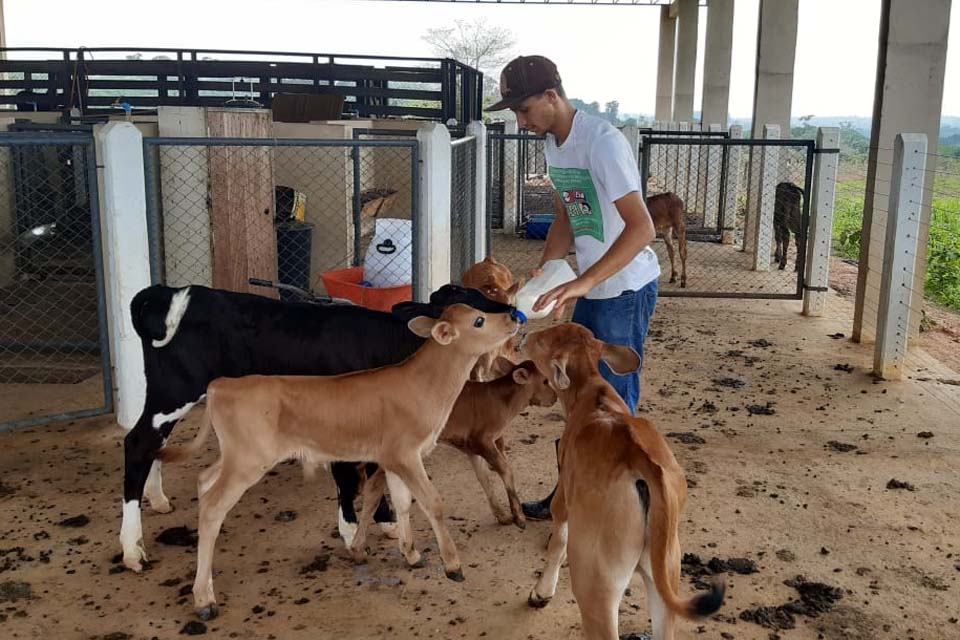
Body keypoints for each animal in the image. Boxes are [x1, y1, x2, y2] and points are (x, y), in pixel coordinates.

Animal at [122, 282, 516, 572]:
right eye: (477, 312)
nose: (513, 314)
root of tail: (173, 291)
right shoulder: (339, 419)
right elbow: (348, 475)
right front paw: (353, 529)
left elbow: (376, 475)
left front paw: (386, 522)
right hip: (174, 390)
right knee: (138, 442)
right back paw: (132, 548)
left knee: (155, 444)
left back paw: (157, 500)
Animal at [520, 324, 724, 640]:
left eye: (541, 340)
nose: (524, 336)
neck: (590, 390)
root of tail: (638, 458)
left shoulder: (564, 496)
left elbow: (558, 541)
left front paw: (541, 593)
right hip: (667, 568)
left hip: (595, 580)